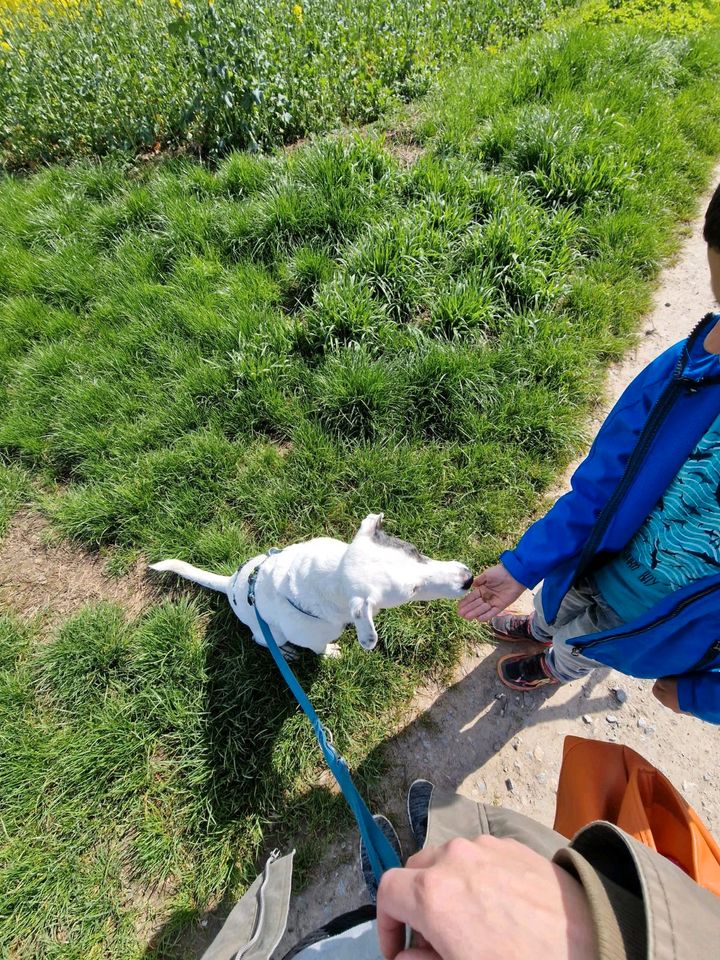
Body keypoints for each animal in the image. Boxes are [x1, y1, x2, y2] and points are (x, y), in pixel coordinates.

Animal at [148, 512, 472, 656]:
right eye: (411, 592)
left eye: (416, 551)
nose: (468, 579)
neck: (331, 576)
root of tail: (230, 584)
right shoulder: (309, 636)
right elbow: (318, 648)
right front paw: (329, 652)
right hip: (272, 634)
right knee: (261, 640)